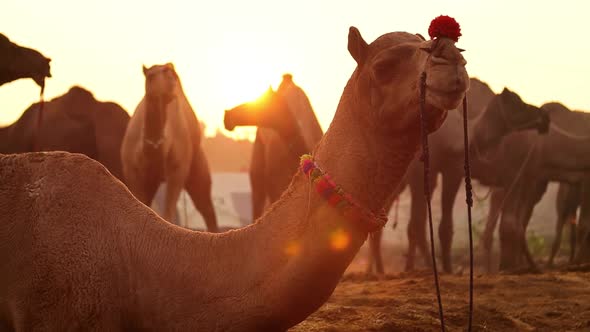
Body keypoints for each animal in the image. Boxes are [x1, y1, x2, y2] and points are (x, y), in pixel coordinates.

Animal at [120, 63, 220, 232]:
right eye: (151, 75)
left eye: (170, 74)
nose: (171, 86)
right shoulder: (132, 170)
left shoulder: (177, 170)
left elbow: (168, 215)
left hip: (196, 165)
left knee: (206, 207)